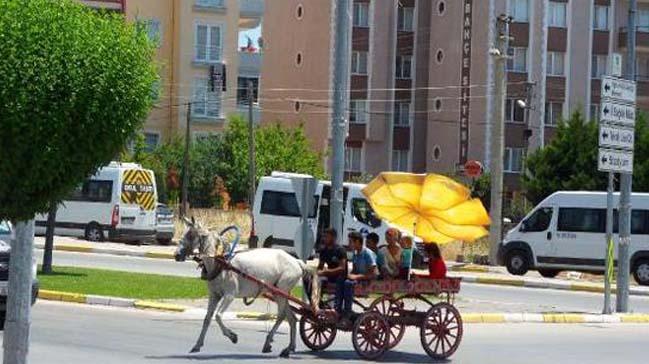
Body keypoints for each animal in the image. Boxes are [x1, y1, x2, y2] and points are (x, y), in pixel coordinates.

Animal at [173, 219, 318, 358]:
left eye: (191, 235)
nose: (176, 254)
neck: (220, 263)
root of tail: (297, 262)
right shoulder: (214, 295)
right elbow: (207, 319)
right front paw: (197, 345)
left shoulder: (229, 295)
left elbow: (218, 316)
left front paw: (233, 336)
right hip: (278, 293)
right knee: (292, 318)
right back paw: (288, 348)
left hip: (282, 291)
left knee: (281, 316)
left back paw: (269, 342)